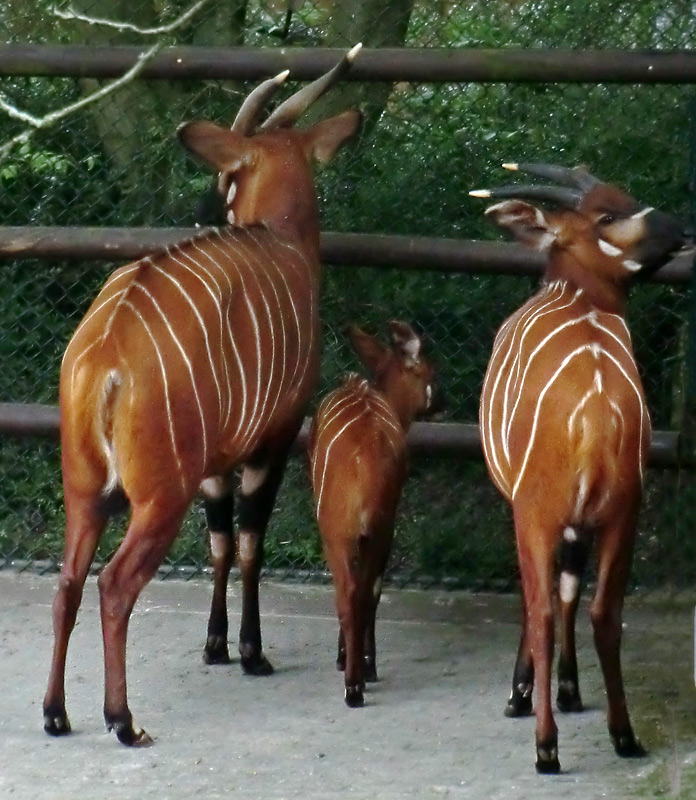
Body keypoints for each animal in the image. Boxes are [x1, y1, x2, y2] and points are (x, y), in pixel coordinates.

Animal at [42, 43, 364, 748]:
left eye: (226, 179)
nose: (210, 207)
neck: (282, 238)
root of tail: (104, 354)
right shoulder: (274, 438)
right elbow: (249, 540)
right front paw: (250, 651)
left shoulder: (218, 459)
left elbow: (218, 538)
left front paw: (215, 645)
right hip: (158, 495)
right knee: (113, 585)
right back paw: (123, 720)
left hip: (85, 488)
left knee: (69, 581)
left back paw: (55, 713)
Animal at [308, 318, 438, 708]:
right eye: (431, 371)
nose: (441, 402)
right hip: (372, 534)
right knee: (362, 592)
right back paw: (359, 676)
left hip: (342, 535)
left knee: (350, 593)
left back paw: (354, 682)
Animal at [474, 164, 684, 776]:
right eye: (608, 213)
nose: (680, 227)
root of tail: (595, 411)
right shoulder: (590, 518)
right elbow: (577, 590)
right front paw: (570, 690)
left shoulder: (529, 511)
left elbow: (540, 597)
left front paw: (530, 693)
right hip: (622, 516)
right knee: (602, 609)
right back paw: (624, 733)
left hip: (539, 514)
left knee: (544, 607)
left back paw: (544, 742)